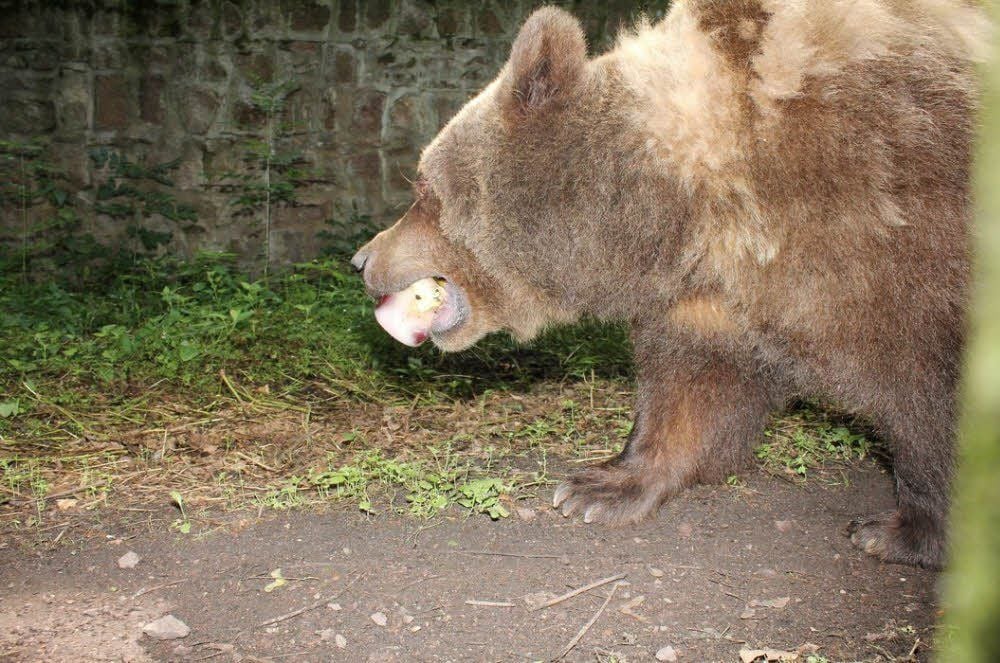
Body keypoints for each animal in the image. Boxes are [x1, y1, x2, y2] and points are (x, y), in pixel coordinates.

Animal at [351, 0, 990, 569]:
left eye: (423, 187)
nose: (362, 260)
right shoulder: (715, 296)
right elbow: (692, 389)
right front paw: (601, 485)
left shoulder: (895, 229)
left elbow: (929, 398)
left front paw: (900, 531)